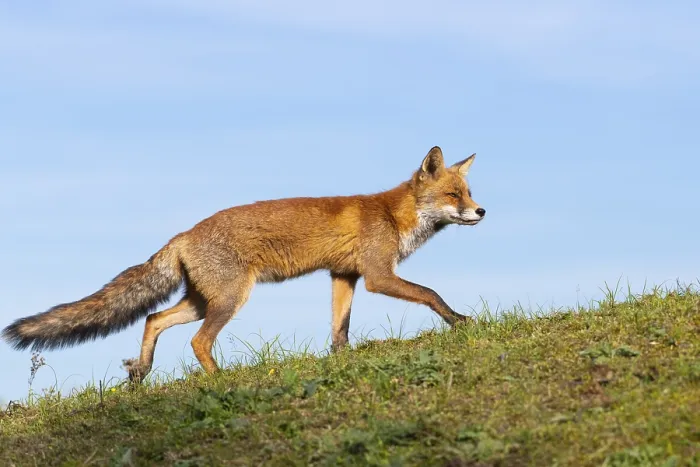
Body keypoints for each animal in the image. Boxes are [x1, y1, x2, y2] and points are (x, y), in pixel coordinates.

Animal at [2, 146, 486, 383]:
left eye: (468, 193)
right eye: (453, 195)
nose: (482, 212)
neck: (393, 214)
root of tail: (183, 234)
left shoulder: (344, 275)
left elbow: (340, 329)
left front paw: (341, 360)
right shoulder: (377, 275)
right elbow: (430, 293)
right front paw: (459, 321)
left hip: (203, 300)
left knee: (154, 319)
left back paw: (141, 372)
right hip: (230, 299)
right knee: (197, 341)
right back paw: (221, 380)